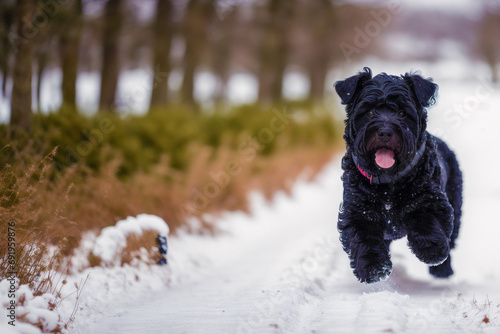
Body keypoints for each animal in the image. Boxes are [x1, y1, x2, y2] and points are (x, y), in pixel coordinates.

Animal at [334, 68, 462, 284]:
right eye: (369, 112)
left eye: (402, 113)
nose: (385, 132)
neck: (388, 182)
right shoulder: (357, 211)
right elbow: (363, 239)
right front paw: (373, 269)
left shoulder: (431, 200)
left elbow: (426, 222)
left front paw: (432, 251)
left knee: (451, 241)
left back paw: (442, 270)